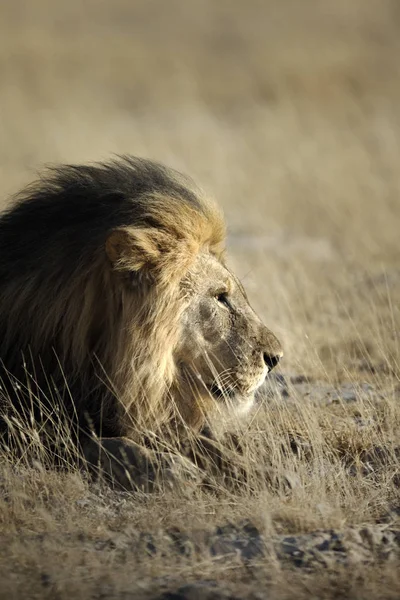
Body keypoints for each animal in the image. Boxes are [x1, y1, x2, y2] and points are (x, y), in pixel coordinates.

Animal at [0, 157, 282, 490]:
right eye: (220, 297)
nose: (276, 358)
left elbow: (208, 445)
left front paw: (262, 472)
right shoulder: (32, 428)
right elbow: (109, 445)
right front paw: (173, 469)